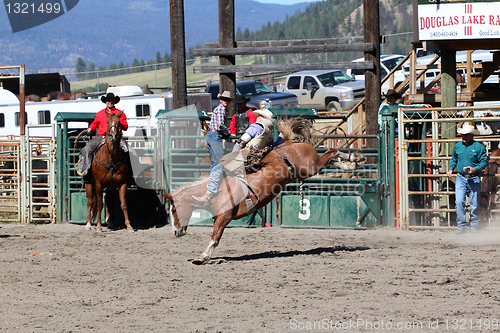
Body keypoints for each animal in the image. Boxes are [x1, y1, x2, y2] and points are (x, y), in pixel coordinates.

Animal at [166, 138, 366, 264]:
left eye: (174, 210)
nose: (175, 232)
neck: (216, 191)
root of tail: (295, 141)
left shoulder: (225, 216)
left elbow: (215, 237)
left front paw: (202, 258)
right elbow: (215, 236)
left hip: (310, 167)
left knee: (331, 151)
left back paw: (352, 159)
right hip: (306, 170)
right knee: (331, 157)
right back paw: (351, 162)